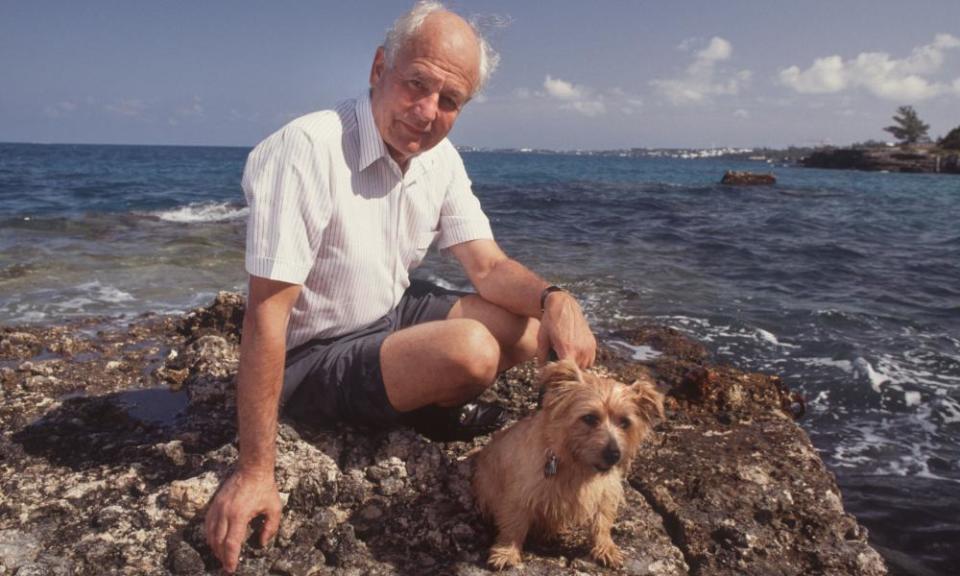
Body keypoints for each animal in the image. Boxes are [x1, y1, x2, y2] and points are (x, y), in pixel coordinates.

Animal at [468, 358, 664, 568]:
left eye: (625, 422)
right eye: (589, 418)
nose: (614, 454)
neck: (576, 466)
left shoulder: (606, 490)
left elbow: (602, 520)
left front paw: (605, 547)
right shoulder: (520, 493)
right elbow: (514, 524)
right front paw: (506, 551)